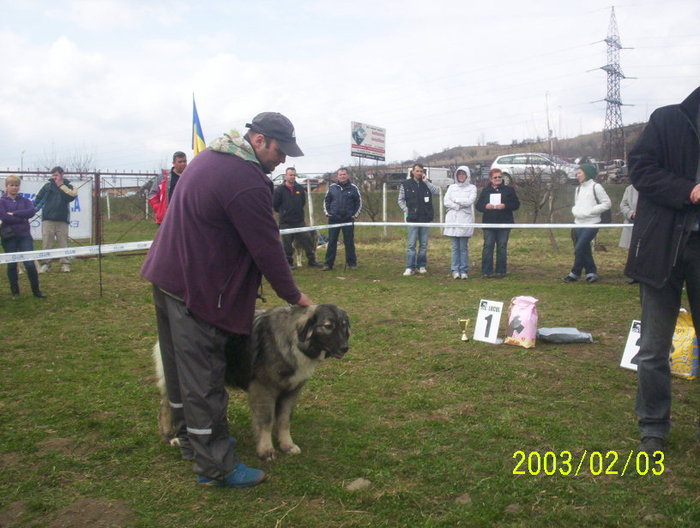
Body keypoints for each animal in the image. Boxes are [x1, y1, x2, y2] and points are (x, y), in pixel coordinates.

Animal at [154, 304, 348, 460]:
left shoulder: (291, 392)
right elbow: (266, 421)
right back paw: (171, 436)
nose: (346, 347)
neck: (292, 340)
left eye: (345, 327)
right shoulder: (264, 390)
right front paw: (266, 450)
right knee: (166, 406)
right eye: (328, 326)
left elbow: (284, 420)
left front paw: (287, 445)